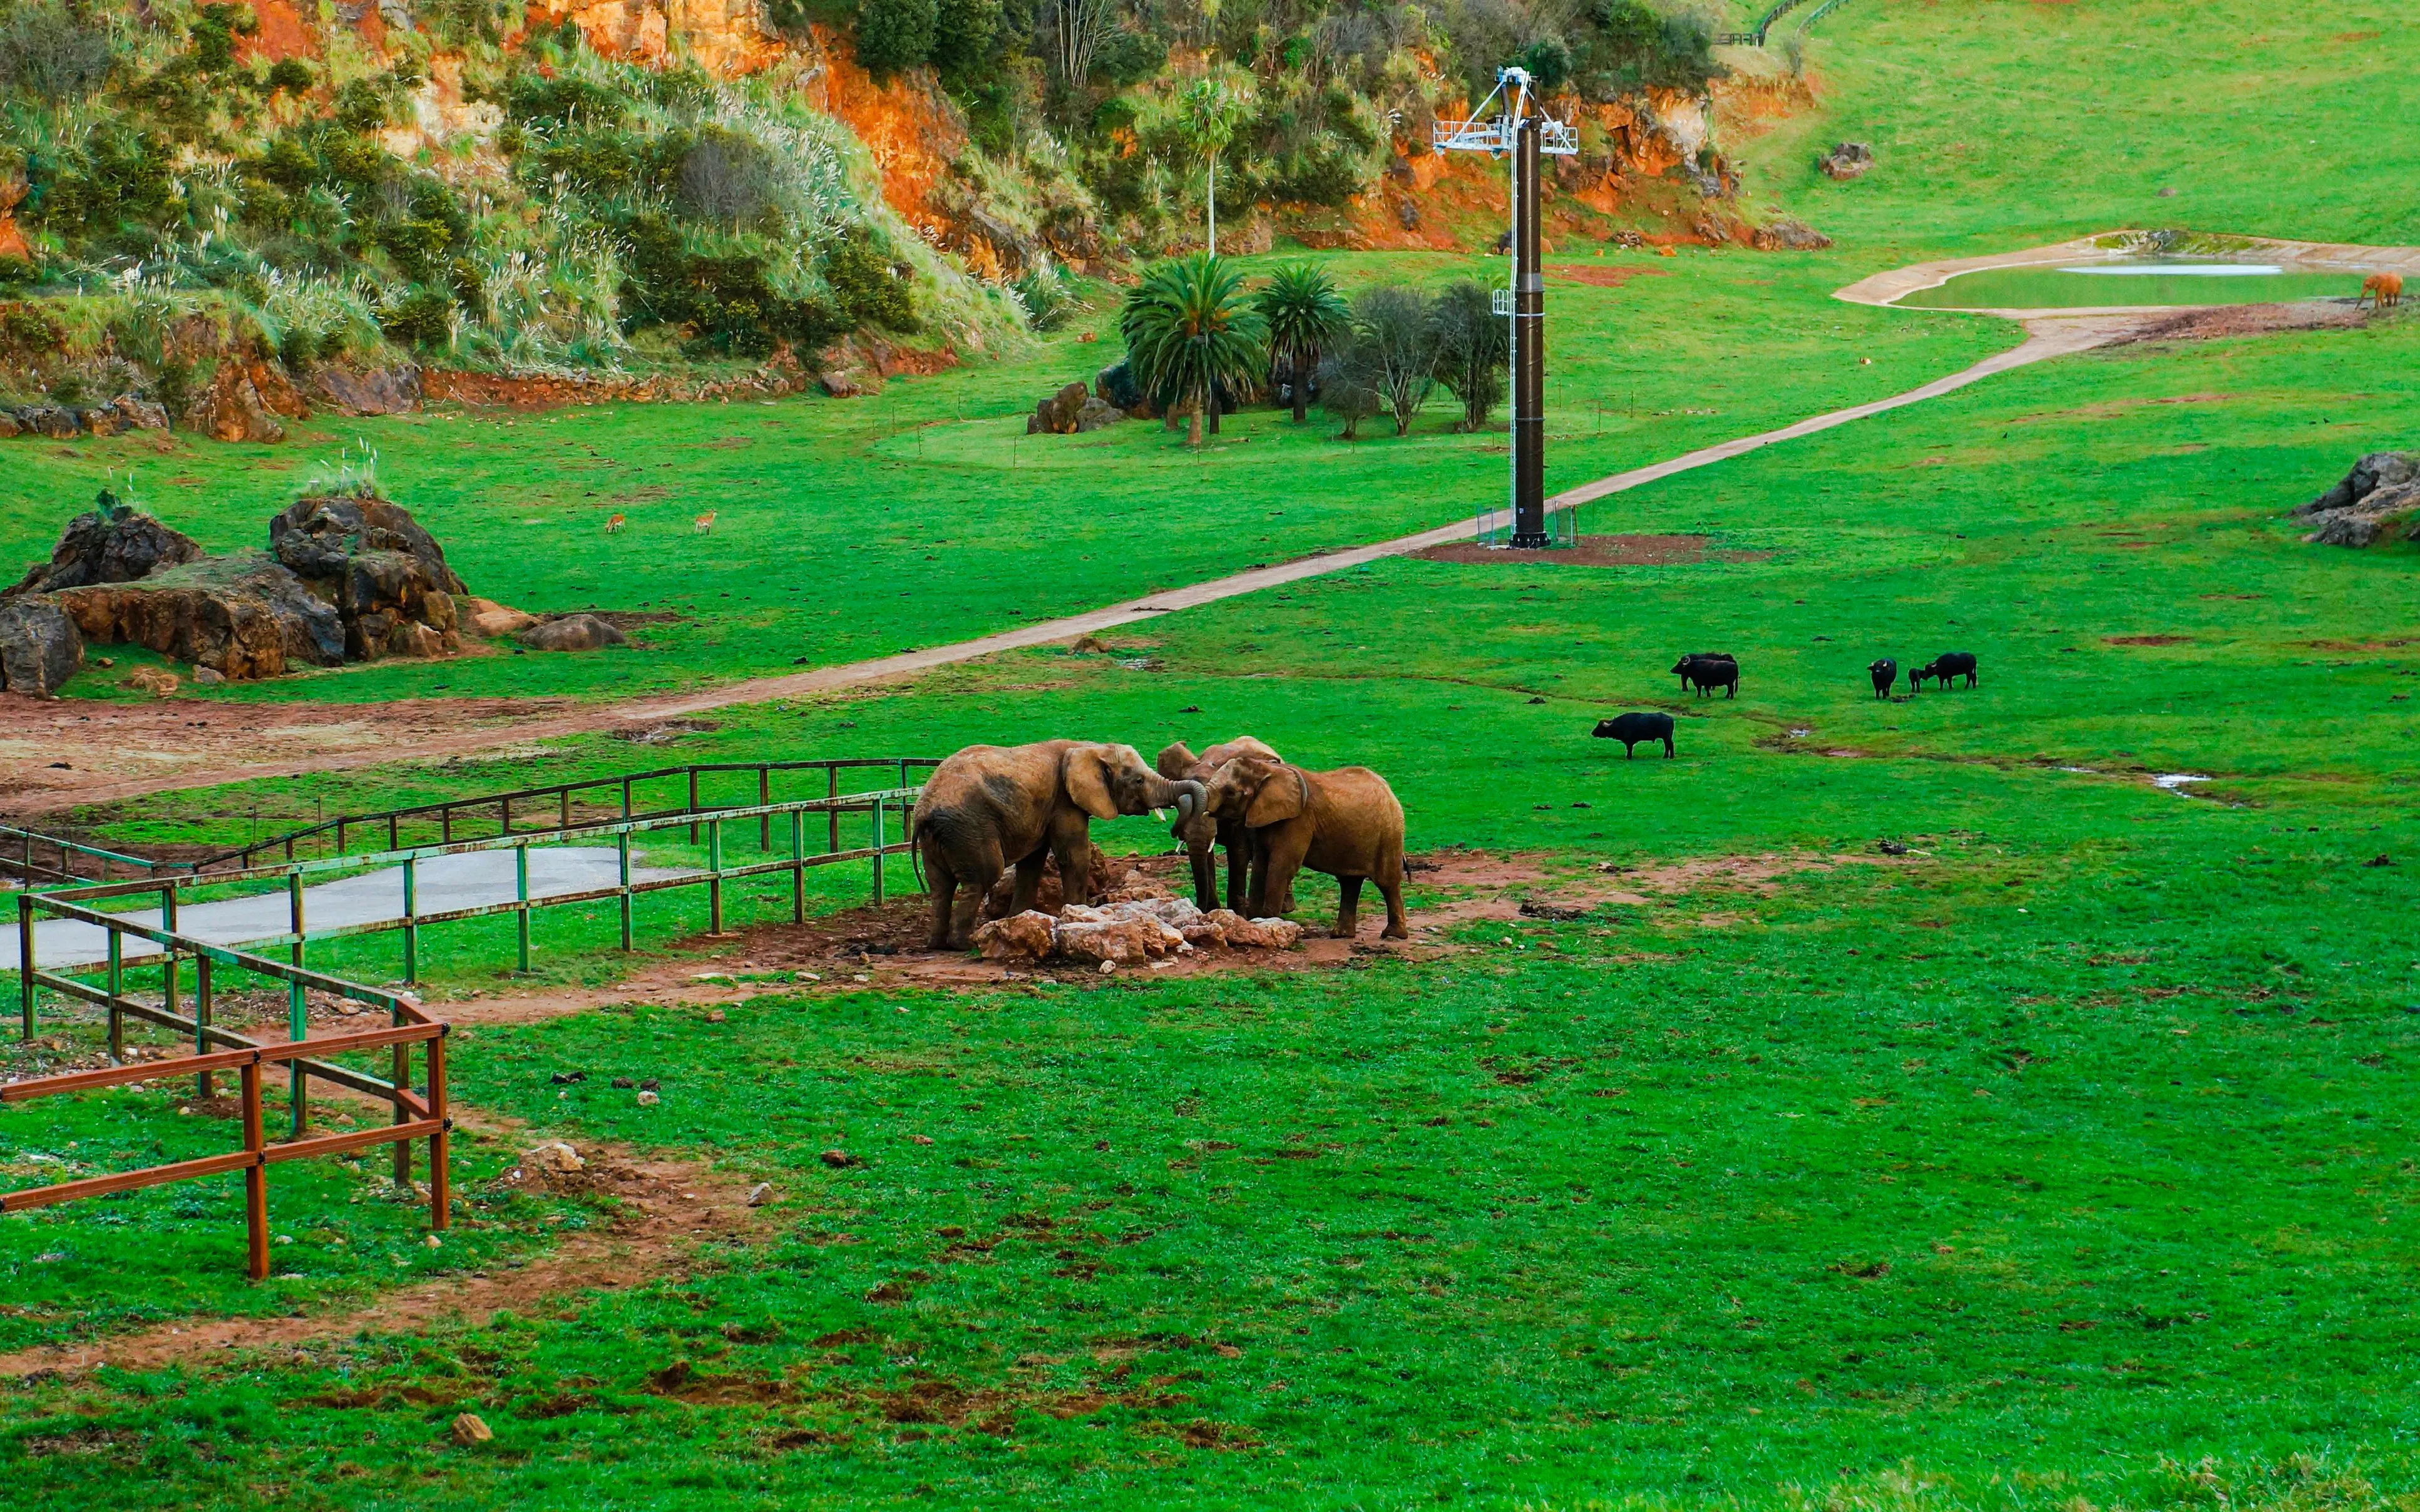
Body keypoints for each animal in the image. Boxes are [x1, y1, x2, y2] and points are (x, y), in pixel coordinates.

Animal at [912, 740, 1204, 950]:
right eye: (1139, 781)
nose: (1175, 832)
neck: (1090, 747)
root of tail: (924, 812)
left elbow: (1033, 862)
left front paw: (1016, 919)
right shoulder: (1065, 802)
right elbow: (1074, 856)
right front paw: (1077, 914)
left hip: (943, 838)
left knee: (940, 886)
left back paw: (936, 945)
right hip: (970, 829)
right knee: (982, 878)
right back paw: (963, 944)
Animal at [1201, 755, 1409, 940]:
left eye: (1230, 792)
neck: (1268, 770)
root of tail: (1389, 789)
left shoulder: (1298, 820)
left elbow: (1282, 867)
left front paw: (1270, 922)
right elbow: (1261, 864)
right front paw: (1256, 920)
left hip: (1389, 833)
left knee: (1387, 882)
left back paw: (1393, 935)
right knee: (1349, 882)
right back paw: (1341, 935)